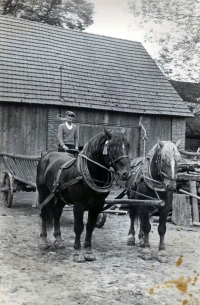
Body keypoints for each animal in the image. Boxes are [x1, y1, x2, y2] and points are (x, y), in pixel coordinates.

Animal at [36, 127, 132, 262]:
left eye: (127, 145)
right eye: (112, 147)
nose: (126, 173)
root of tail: (46, 156)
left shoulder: (97, 206)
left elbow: (90, 227)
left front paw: (88, 252)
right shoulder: (78, 205)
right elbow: (78, 227)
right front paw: (77, 252)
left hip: (60, 197)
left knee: (57, 213)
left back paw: (59, 240)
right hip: (44, 193)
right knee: (44, 213)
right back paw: (43, 241)